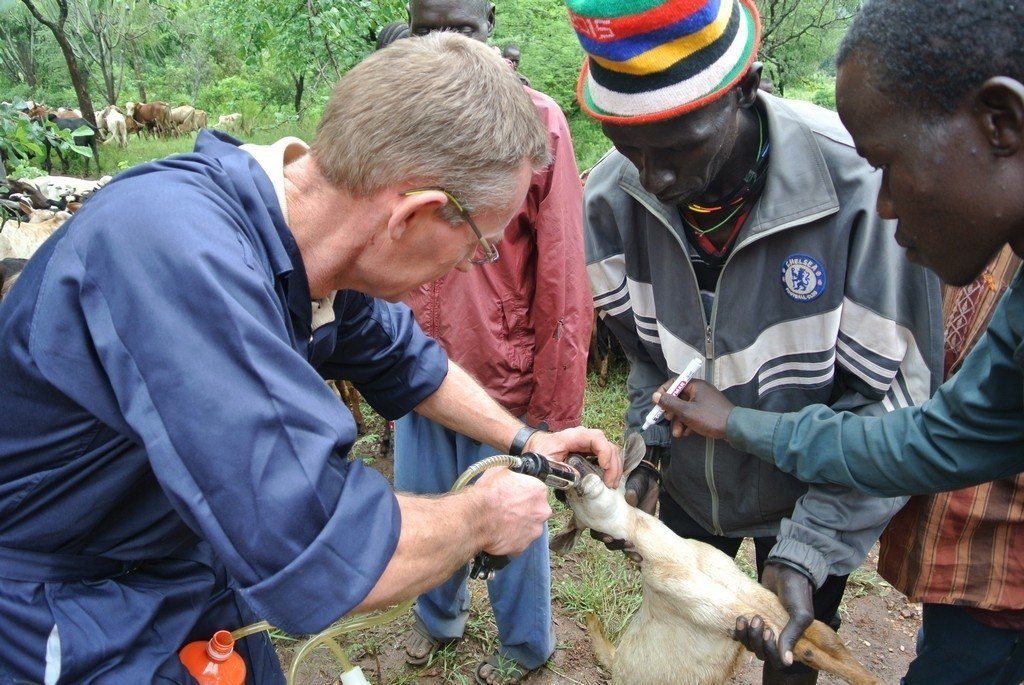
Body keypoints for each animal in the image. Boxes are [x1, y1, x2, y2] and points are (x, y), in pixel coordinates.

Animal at [552, 436, 880, 679]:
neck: (679, 556)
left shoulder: (755, 593)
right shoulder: (719, 610)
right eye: (568, 497)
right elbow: (807, 651)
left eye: (596, 461)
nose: (571, 461)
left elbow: (826, 637)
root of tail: (616, 659)